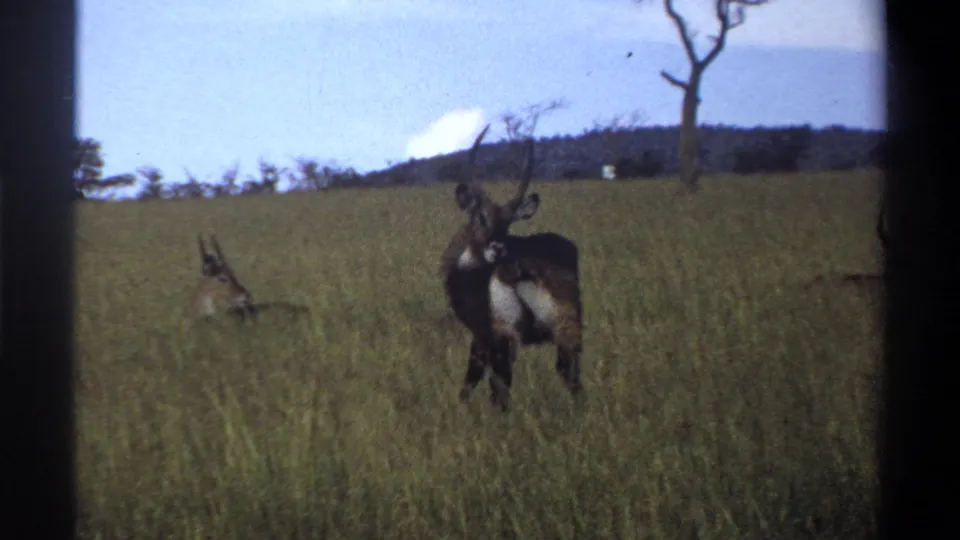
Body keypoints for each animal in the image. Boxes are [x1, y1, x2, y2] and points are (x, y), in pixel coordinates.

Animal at [440, 124, 584, 411]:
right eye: (481, 217)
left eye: (507, 223)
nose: (497, 248)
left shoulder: (483, 335)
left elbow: (470, 383)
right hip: (566, 330)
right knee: (569, 374)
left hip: (505, 337)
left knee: (501, 388)